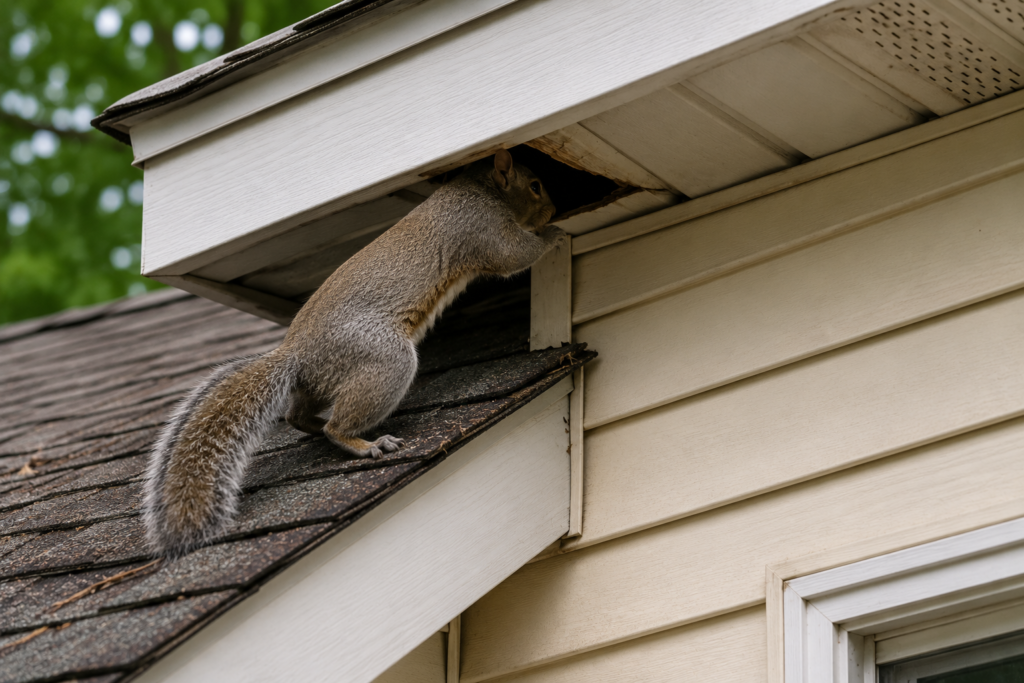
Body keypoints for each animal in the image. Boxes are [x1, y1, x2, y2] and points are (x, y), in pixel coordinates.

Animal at [143, 149, 565, 558]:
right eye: (535, 185)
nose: (554, 209)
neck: (481, 190)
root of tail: (296, 353)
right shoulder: (481, 229)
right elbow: (513, 255)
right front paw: (555, 234)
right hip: (381, 357)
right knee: (339, 425)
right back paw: (365, 443)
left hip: (324, 379)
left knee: (297, 415)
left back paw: (317, 425)